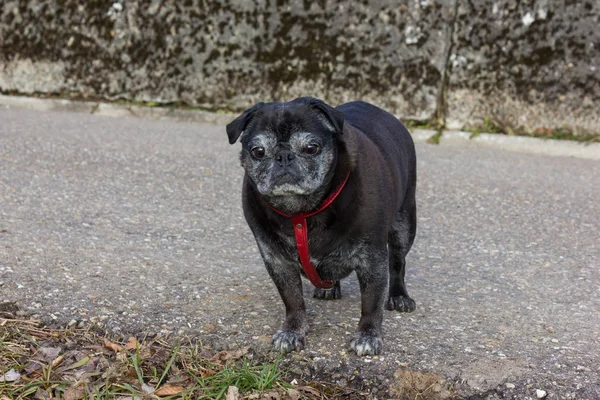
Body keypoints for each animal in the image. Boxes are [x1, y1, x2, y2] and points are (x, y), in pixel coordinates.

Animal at [225, 97, 418, 356]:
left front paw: (367, 335)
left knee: (397, 261)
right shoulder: (278, 261)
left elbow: (371, 302)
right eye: (258, 152)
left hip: (404, 224)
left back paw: (398, 296)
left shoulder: (372, 260)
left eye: (311, 148)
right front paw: (292, 330)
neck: (300, 212)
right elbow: (293, 300)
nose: (283, 156)